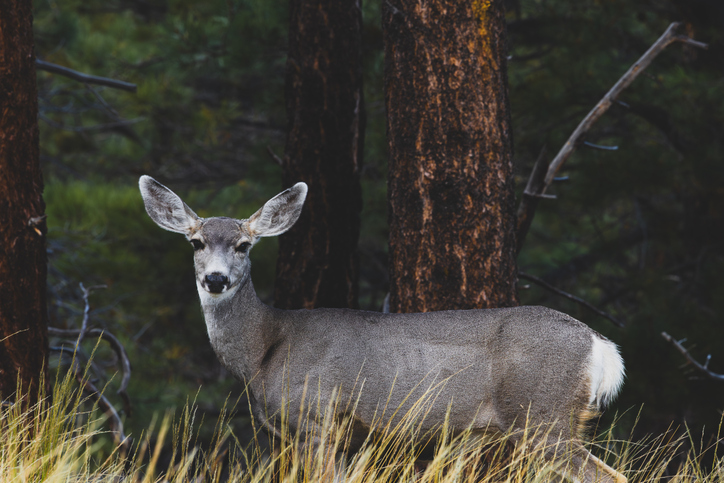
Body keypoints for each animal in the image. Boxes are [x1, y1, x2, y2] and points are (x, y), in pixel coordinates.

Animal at [139, 175, 626, 483]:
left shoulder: (317, 417)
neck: (265, 348)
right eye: (196, 242)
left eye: (243, 245)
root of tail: (600, 345)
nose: (215, 279)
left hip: (542, 415)